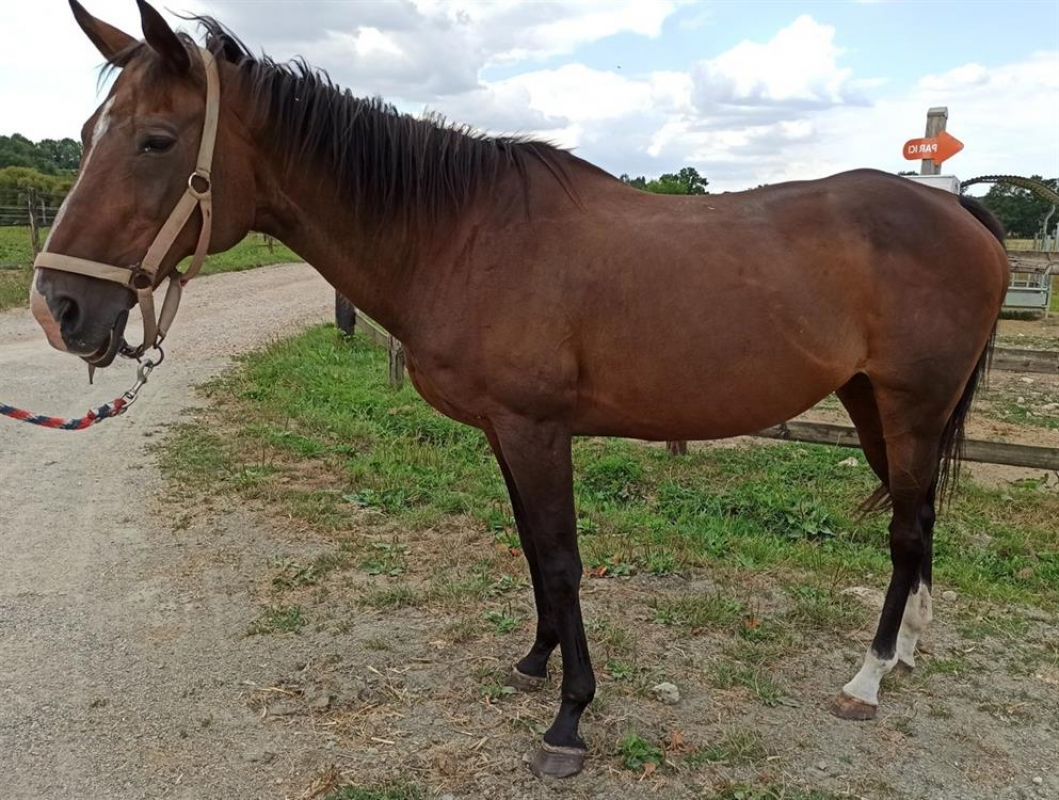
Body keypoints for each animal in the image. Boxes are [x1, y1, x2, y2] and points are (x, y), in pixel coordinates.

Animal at [31, 1, 1009, 779]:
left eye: (156, 141)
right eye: (82, 136)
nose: (59, 308)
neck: (461, 234)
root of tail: (954, 207)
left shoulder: (538, 429)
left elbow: (563, 559)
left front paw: (569, 721)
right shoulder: (504, 432)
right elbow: (532, 553)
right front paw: (535, 664)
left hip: (910, 406)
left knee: (906, 529)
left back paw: (867, 677)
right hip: (870, 403)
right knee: (920, 524)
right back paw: (906, 651)